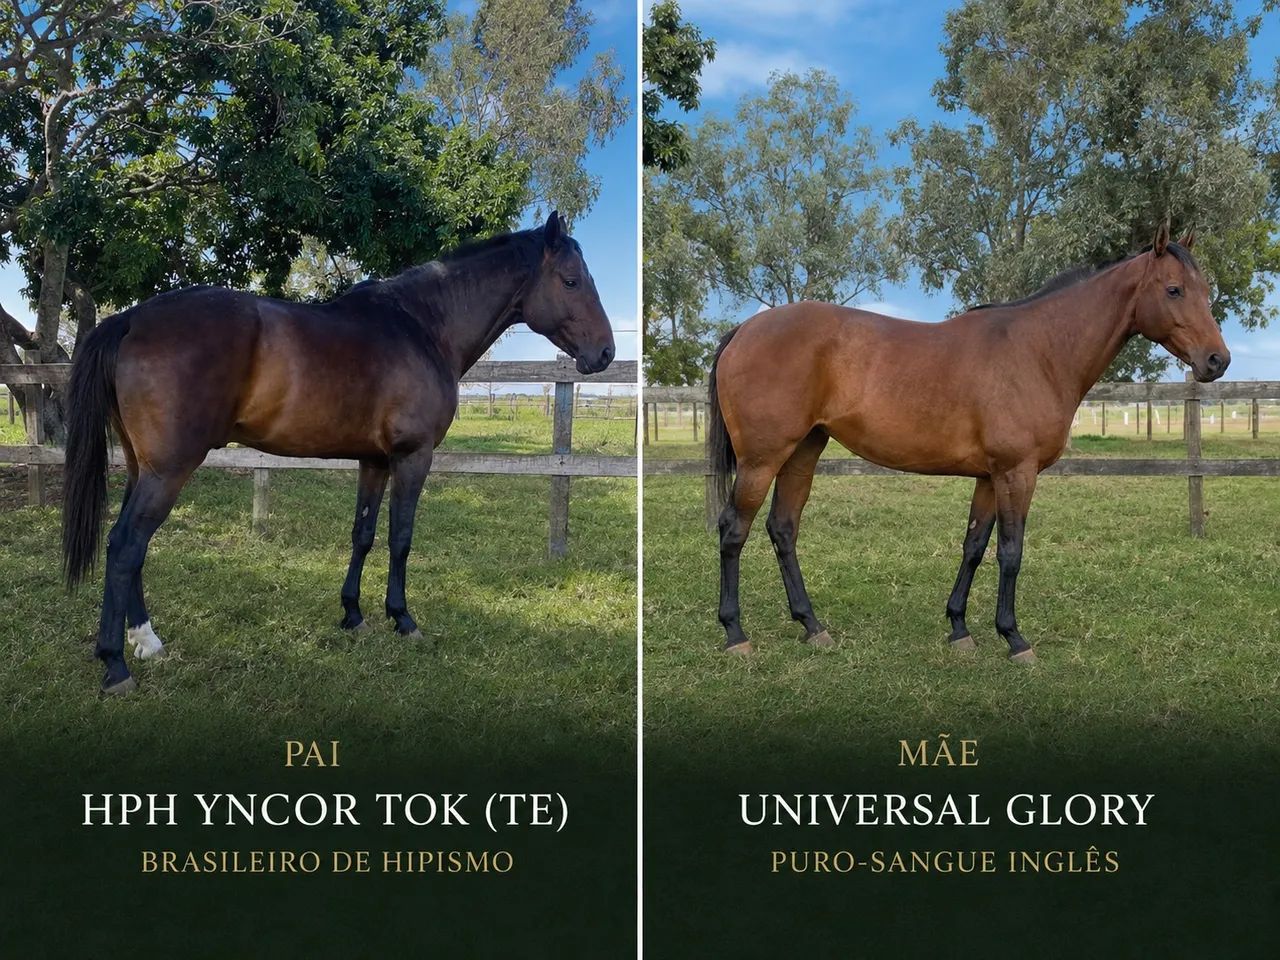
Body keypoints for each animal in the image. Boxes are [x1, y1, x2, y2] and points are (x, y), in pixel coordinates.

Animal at [61, 211, 615, 695]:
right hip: (169, 470)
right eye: (570, 281)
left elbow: (363, 535)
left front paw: (353, 614)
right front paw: (402, 618)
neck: (423, 326)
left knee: (131, 546)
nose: (606, 354)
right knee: (125, 544)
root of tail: (131, 319)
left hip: (143, 467)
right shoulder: (413, 457)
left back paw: (147, 641)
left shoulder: (374, 461)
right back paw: (115, 665)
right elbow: (400, 538)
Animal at [706, 224, 1229, 661]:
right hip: (762, 459)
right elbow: (1011, 552)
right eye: (1174, 289)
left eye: (1206, 291)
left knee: (783, 528)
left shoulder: (989, 476)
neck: (1040, 351)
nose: (1217, 360)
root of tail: (744, 329)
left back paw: (812, 626)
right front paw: (1014, 638)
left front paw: (959, 629)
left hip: (802, 453)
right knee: (734, 529)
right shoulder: (1017, 473)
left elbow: (974, 545)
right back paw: (735, 634)